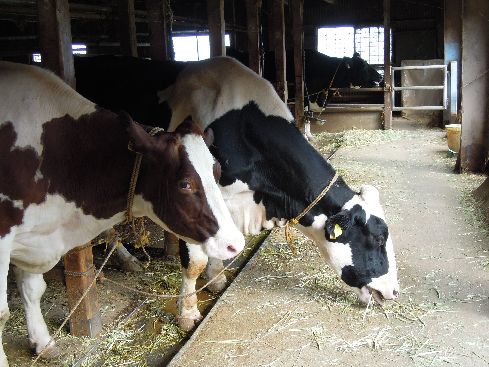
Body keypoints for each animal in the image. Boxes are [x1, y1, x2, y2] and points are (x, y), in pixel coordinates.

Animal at [0, 61, 244, 366]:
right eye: (184, 184)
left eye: (217, 171)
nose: (236, 243)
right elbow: (2, 313)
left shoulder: (37, 237)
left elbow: (33, 288)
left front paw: (43, 343)